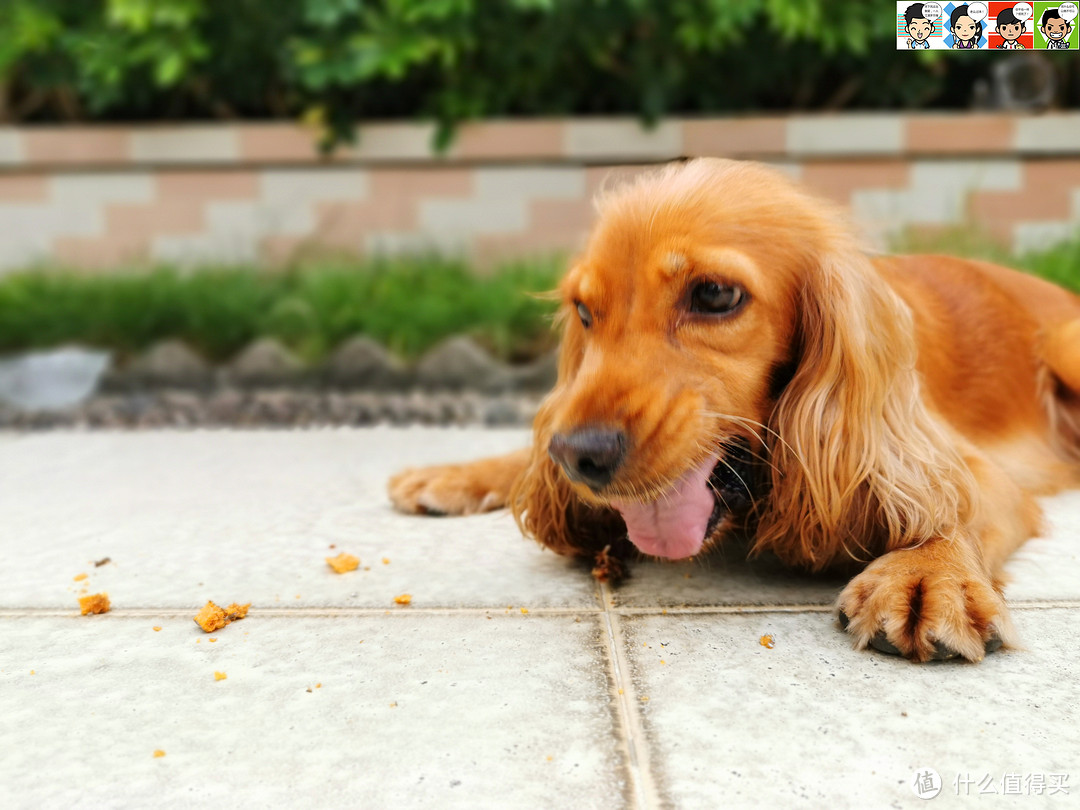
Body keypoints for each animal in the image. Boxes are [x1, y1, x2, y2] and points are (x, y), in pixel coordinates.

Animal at [390, 159, 1080, 665]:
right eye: (584, 311)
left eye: (716, 294)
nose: (578, 454)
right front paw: (458, 472)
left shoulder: (966, 464)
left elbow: (951, 504)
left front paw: (929, 575)